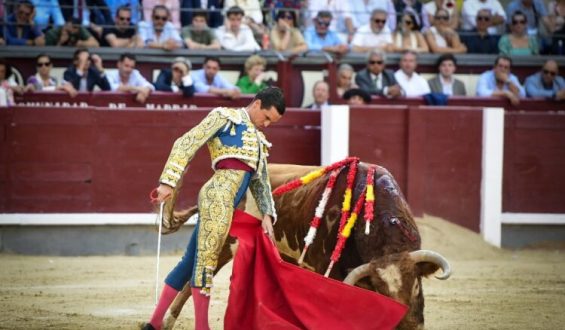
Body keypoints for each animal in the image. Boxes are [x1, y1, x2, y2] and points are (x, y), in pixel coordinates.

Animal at [159, 161, 450, 328]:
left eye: (416, 284)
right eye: (379, 289)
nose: (407, 325)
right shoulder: (328, 269)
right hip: (223, 242)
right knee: (192, 281)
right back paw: (166, 321)